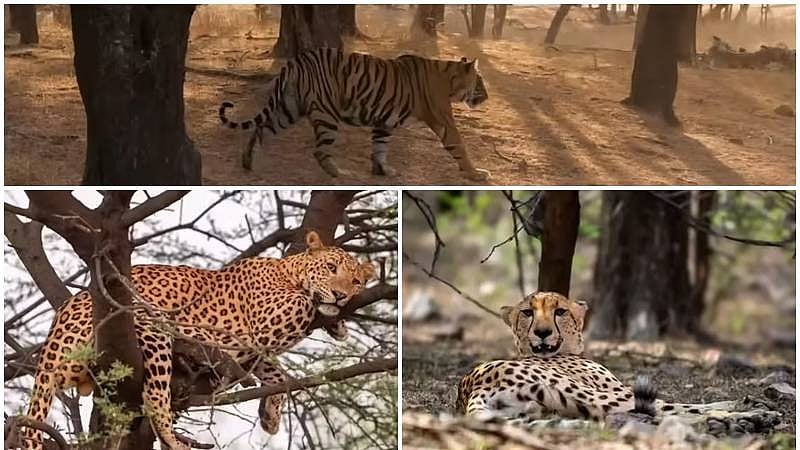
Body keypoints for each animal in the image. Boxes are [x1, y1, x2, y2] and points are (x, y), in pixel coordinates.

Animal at [21, 231, 375, 450]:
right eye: (330, 267)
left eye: (357, 281)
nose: (342, 295)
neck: (288, 270)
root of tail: (57, 326)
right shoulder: (265, 323)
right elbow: (303, 306)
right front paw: (331, 314)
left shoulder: (254, 350)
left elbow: (277, 375)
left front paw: (271, 415)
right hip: (151, 327)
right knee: (154, 396)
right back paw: (173, 439)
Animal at [218, 47, 491, 181]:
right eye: (480, 82)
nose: (487, 97)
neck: (449, 79)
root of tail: (296, 61)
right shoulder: (444, 121)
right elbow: (460, 146)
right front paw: (476, 174)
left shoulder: (383, 122)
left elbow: (379, 147)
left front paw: (382, 171)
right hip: (326, 114)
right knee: (319, 150)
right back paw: (339, 173)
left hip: (289, 108)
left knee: (261, 128)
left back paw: (249, 161)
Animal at [457, 292, 745, 427]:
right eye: (527, 313)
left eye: (560, 311)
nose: (542, 332)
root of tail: (473, 384)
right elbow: (677, 404)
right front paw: (734, 403)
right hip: (599, 395)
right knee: (669, 409)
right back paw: (740, 412)